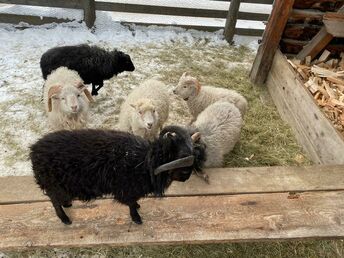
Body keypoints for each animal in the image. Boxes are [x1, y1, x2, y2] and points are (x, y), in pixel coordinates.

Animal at [29, 126, 204, 225]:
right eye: (184, 169)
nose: (187, 178)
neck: (144, 161)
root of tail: (33, 150)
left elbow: (134, 202)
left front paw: (138, 208)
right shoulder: (126, 189)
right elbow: (131, 204)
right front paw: (137, 218)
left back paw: (67, 204)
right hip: (53, 185)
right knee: (54, 202)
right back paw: (65, 219)